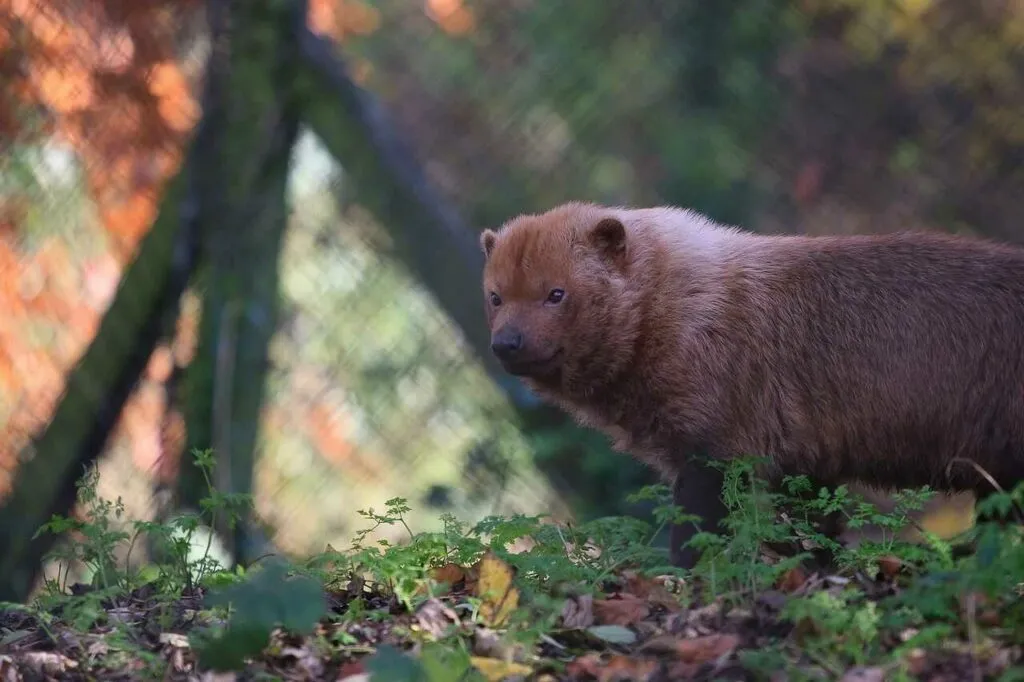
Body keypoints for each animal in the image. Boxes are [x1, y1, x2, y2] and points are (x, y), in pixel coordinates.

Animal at [483, 201, 1024, 569]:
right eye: (495, 296)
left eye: (556, 293)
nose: (506, 343)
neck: (679, 309)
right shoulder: (804, 463)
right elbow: (816, 537)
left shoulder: (715, 451)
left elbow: (695, 535)